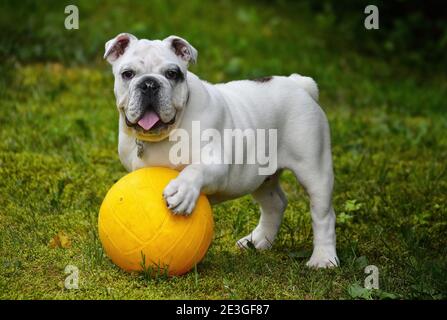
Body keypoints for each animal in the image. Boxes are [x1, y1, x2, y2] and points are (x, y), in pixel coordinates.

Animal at [103, 33, 338, 268]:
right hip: (260, 177)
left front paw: (182, 191)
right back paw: (258, 241)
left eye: (172, 74)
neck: (164, 134)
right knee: (275, 204)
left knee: (323, 215)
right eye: (127, 74)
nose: (149, 84)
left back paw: (323, 258)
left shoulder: (216, 163)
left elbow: (195, 169)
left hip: (314, 170)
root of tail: (298, 84)